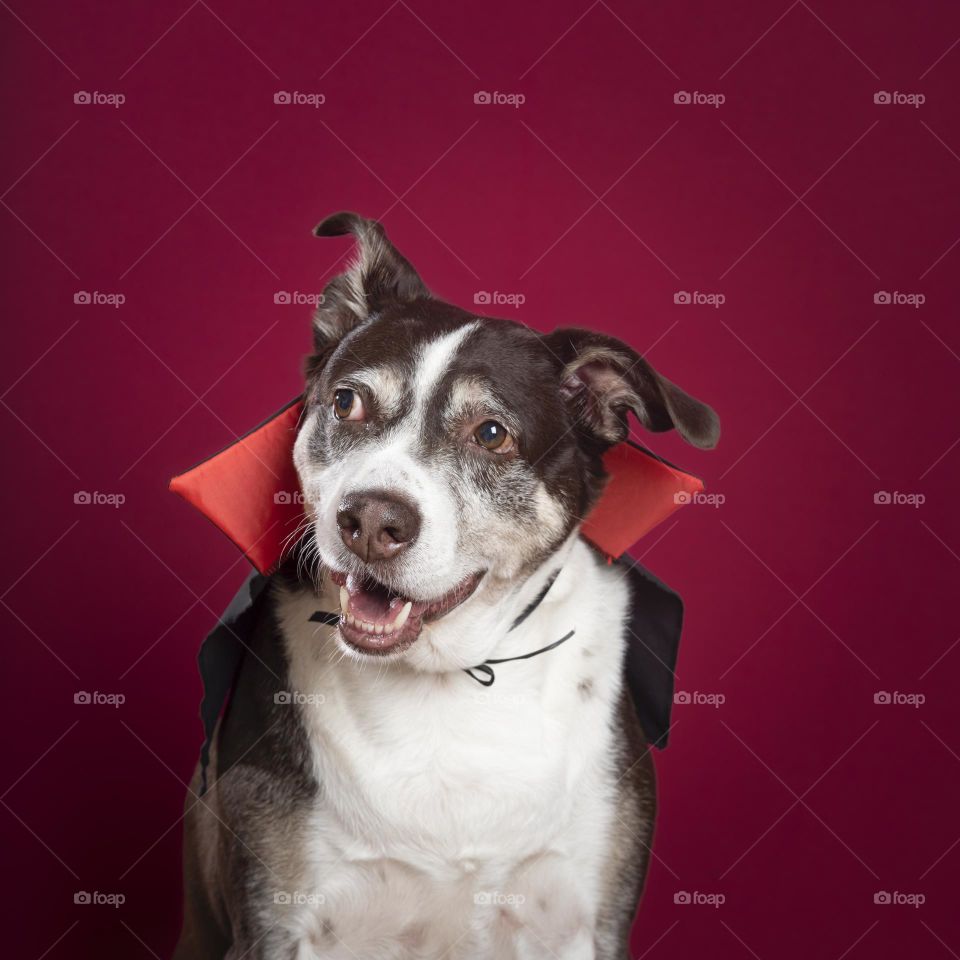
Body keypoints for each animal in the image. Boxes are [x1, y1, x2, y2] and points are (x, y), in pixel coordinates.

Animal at [172, 216, 716, 960]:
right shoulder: (275, 924)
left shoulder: (582, 923)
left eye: (491, 433)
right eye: (347, 402)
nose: (371, 522)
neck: (444, 677)